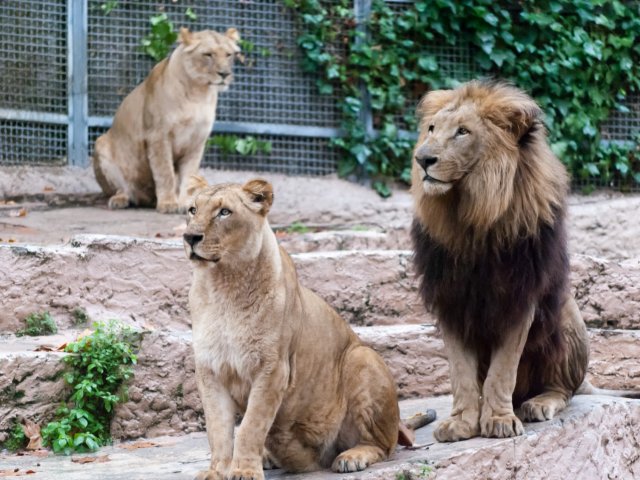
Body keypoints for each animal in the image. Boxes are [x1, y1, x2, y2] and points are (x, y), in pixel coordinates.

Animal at [93, 27, 240, 213]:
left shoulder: (197, 141)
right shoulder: (158, 136)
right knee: (120, 189)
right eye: (208, 54)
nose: (225, 74)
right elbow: (165, 172)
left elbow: (188, 175)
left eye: (228, 55)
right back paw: (120, 199)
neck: (198, 93)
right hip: (102, 144)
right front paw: (168, 203)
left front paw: (186, 203)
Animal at [184, 177, 415, 480]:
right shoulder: (210, 370)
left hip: (362, 358)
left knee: (383, 445)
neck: (223, 286)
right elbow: (218, 430)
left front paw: (244, 471)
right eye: (192, 210)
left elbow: (250, 426)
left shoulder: (273, 369)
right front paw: (217, 472)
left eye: (224, 212)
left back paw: (350, 457)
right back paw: (270, 457)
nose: (190, 237)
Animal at [410, 80, 590, 441]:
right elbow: (460, 372)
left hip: (566, 315)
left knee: (564, 389)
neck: (471, 221)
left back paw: (539, 403)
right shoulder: (450, 299)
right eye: (432, 129)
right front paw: (462, 422)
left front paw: (499, 420)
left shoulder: (520, 297)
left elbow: (503, 369)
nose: (422, 159)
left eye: (462, 132)